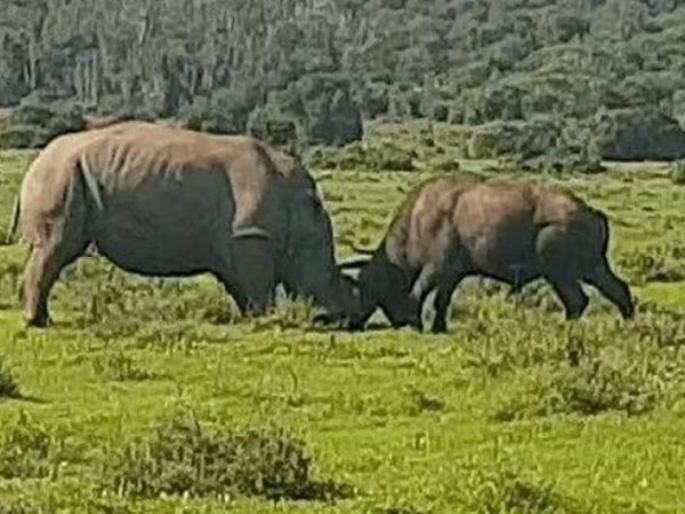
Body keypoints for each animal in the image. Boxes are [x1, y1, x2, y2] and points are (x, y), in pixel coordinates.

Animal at [11, 121, 359, 327]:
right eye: (331, 277)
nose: (345, 319)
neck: (300, 211)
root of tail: (38, 160)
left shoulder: (236, 244)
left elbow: (243, 288)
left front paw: (251, 319)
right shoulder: (251, 235)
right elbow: (259, 289)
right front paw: (266, 320)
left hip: (68, 174)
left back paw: (41, 320)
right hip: (61, 175)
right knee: (56, 248)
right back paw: (37, 323)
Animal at [342, 177, 635, 332]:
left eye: (367, 284)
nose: (353, 321)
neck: (419, 219)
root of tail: (591, 212)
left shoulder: (435, 269)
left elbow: (419, 293)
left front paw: (418, 324)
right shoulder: (451, 275)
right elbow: (441, 301)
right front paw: (438, 327)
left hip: (559, 273)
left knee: (576, 301)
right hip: (593, 268)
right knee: (619, 290)